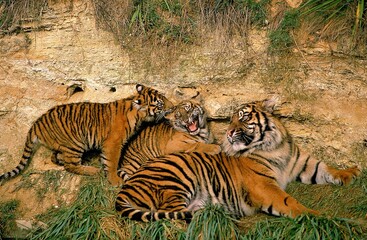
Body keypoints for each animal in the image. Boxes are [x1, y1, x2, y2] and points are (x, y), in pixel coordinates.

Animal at [0, 84, 174, 186]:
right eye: (160, 103)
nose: (172, 107)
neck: (136, 114)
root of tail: (36, 123)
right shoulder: (113, 144)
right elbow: (112, 163)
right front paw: (115, 180)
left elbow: (107, 161)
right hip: (75, 143)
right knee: (70, 165)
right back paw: (92, 170)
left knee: (55, 157)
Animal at [115, 97, 362, 221]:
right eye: (231, 119)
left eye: (242, 117)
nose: (228, 133)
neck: (274, 147)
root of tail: (128, 186)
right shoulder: (264, 186)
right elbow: (289, 202)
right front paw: (318, 217)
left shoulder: (303, 163)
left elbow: (327, 168)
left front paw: (352, 172)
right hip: (177, 178)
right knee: (171, 215)